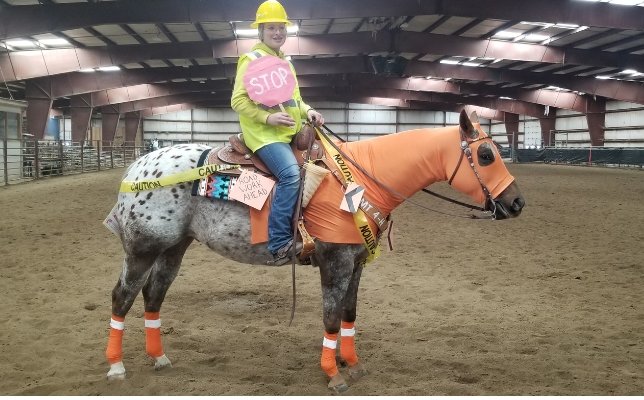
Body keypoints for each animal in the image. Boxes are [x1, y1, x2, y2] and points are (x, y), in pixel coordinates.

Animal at [104, 110, 525, 392]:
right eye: (486, 155)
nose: (517, 203)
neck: (359, 181)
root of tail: (136, 168)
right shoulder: (334, 262)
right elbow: (331, 318)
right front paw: (333, 373)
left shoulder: (357, 263)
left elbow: (349, 313)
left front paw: (351, 363)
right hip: (142, 249)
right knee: (123, 296)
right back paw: (117, 367)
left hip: (174, 248)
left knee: (153, 295)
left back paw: (159, 358)